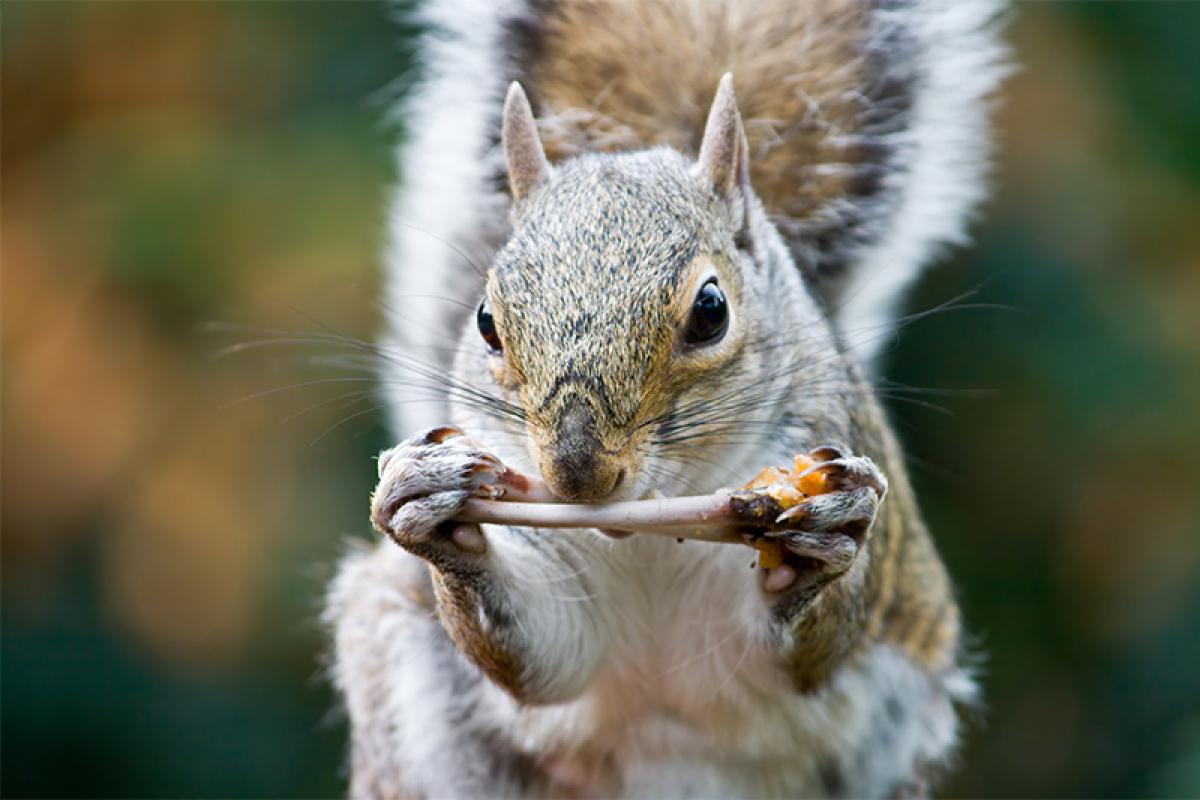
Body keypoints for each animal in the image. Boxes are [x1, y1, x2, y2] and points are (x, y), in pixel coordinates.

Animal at [326, 3, 1003, 796]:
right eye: (487, 321)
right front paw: (429, 510)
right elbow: (544, 655)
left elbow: (806, 652)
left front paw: (821, 539)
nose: (579, 474)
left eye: (711, 311)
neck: (643, 533)